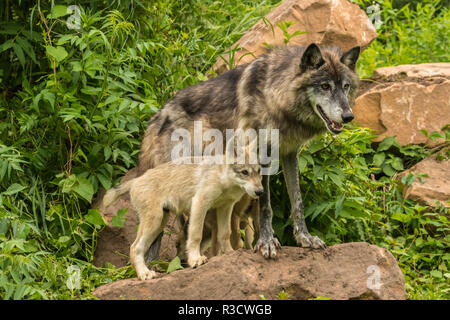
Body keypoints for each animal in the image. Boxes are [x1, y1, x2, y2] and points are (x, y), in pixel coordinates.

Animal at [102, 154, 264, 278]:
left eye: (259, 171)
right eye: (245, 172)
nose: (260, 192)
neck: (224, 180)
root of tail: (136, 180)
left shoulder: (226, 207)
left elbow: (225, 234)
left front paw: (230, 253)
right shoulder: (199, 204)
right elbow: (195, 236)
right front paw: (195, 260)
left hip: (159, 224)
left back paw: (145, 273)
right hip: (154, 222)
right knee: (134, 247)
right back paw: (144, 274)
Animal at [139, 43, 360, 260]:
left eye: (345, 86)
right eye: (325, 86)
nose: (348, 116)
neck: (275, 94)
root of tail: (156, 118)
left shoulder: (289, 154)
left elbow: (297, 201)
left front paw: (305, 238)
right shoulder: (262, 154)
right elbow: (264, 205)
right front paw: (267, 243)